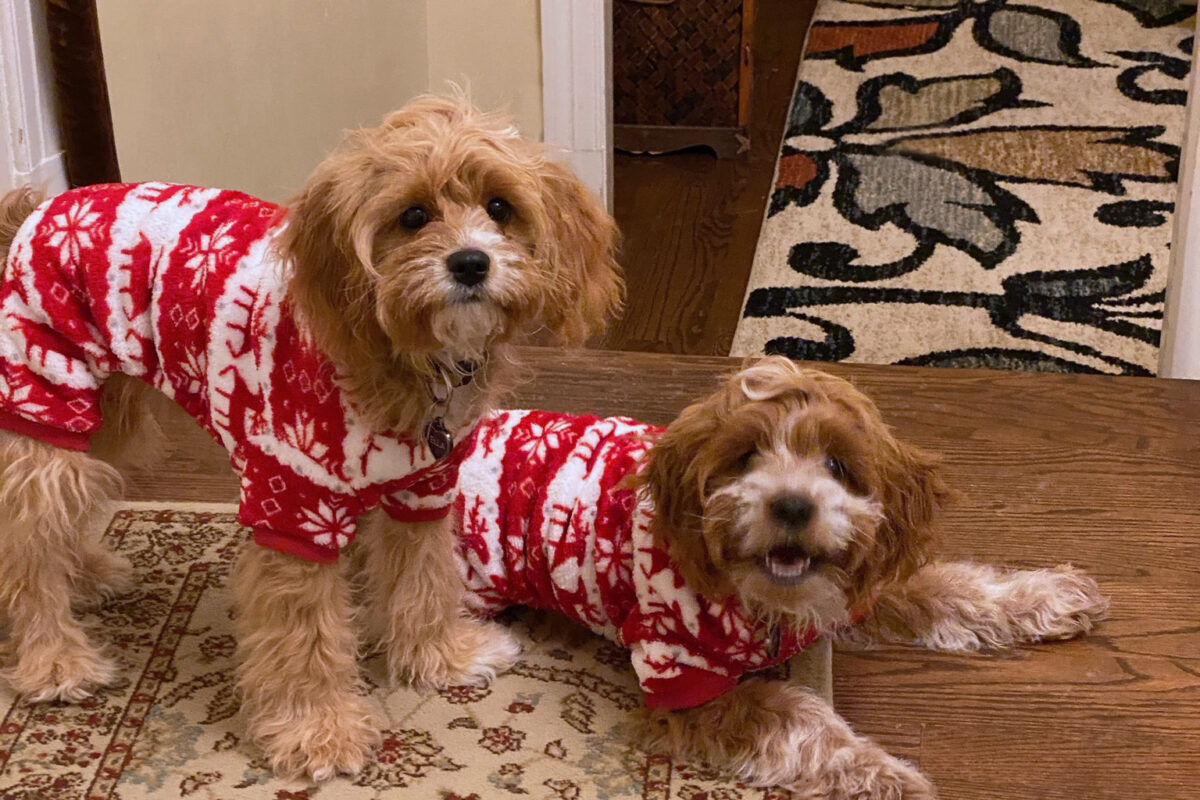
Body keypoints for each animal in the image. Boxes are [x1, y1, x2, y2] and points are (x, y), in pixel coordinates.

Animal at [0, 97, 624, 777]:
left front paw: (440, 655)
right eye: (413, 215)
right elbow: (306, 636)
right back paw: (54, 660)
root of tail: (34, 211)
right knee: (24, 539)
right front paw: (317, 731)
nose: (469, 262)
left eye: (500, 207)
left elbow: (426, 579)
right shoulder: (295, 508)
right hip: (47, 404)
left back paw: (84, 574)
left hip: (99, 419)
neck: (400, 357)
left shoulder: (425, 490)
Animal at [446, 359, 1108, 796]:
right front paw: (886, 774)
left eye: (837, 464)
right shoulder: (683, 681)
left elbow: (951, 587)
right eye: (745, 458)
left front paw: (1048, 595)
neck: (764, 600)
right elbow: (801, 719)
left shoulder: (856, 580)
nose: (792, 506)